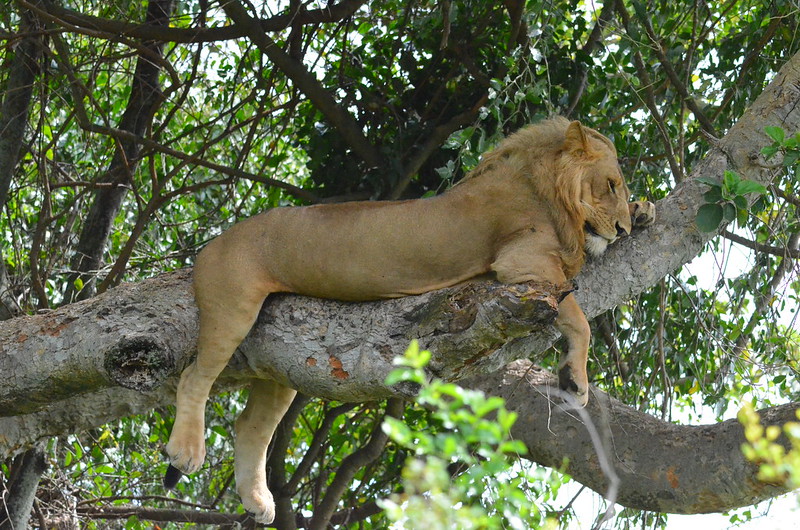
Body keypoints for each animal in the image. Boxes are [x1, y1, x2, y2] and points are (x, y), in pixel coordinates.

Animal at [164, 116, 656, 520]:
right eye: (611, 184)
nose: (622, 231)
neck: (546, 190)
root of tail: (212, 243)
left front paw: (644, 211)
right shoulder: (524, 264)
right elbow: (579, 319)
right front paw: (576, 379)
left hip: (279, 363)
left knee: (250, 425)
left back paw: (258, 500)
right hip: (233, 307)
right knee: (194, 376)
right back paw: (186, 451)